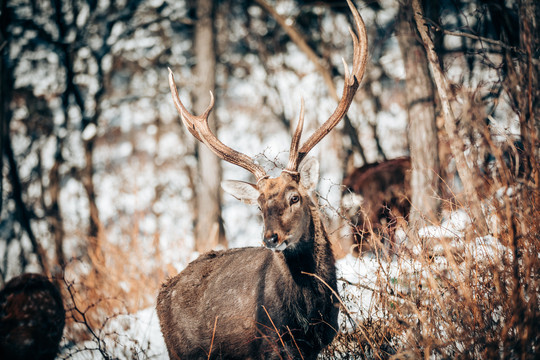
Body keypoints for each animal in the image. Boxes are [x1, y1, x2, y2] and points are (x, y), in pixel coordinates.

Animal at [156, 1, 368, 358]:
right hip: (182, 350)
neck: (307, 315)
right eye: (258, 206)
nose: (271, 238)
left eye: (295, 196)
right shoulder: (271, 342)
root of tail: (161, 294)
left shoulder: (320, 341)